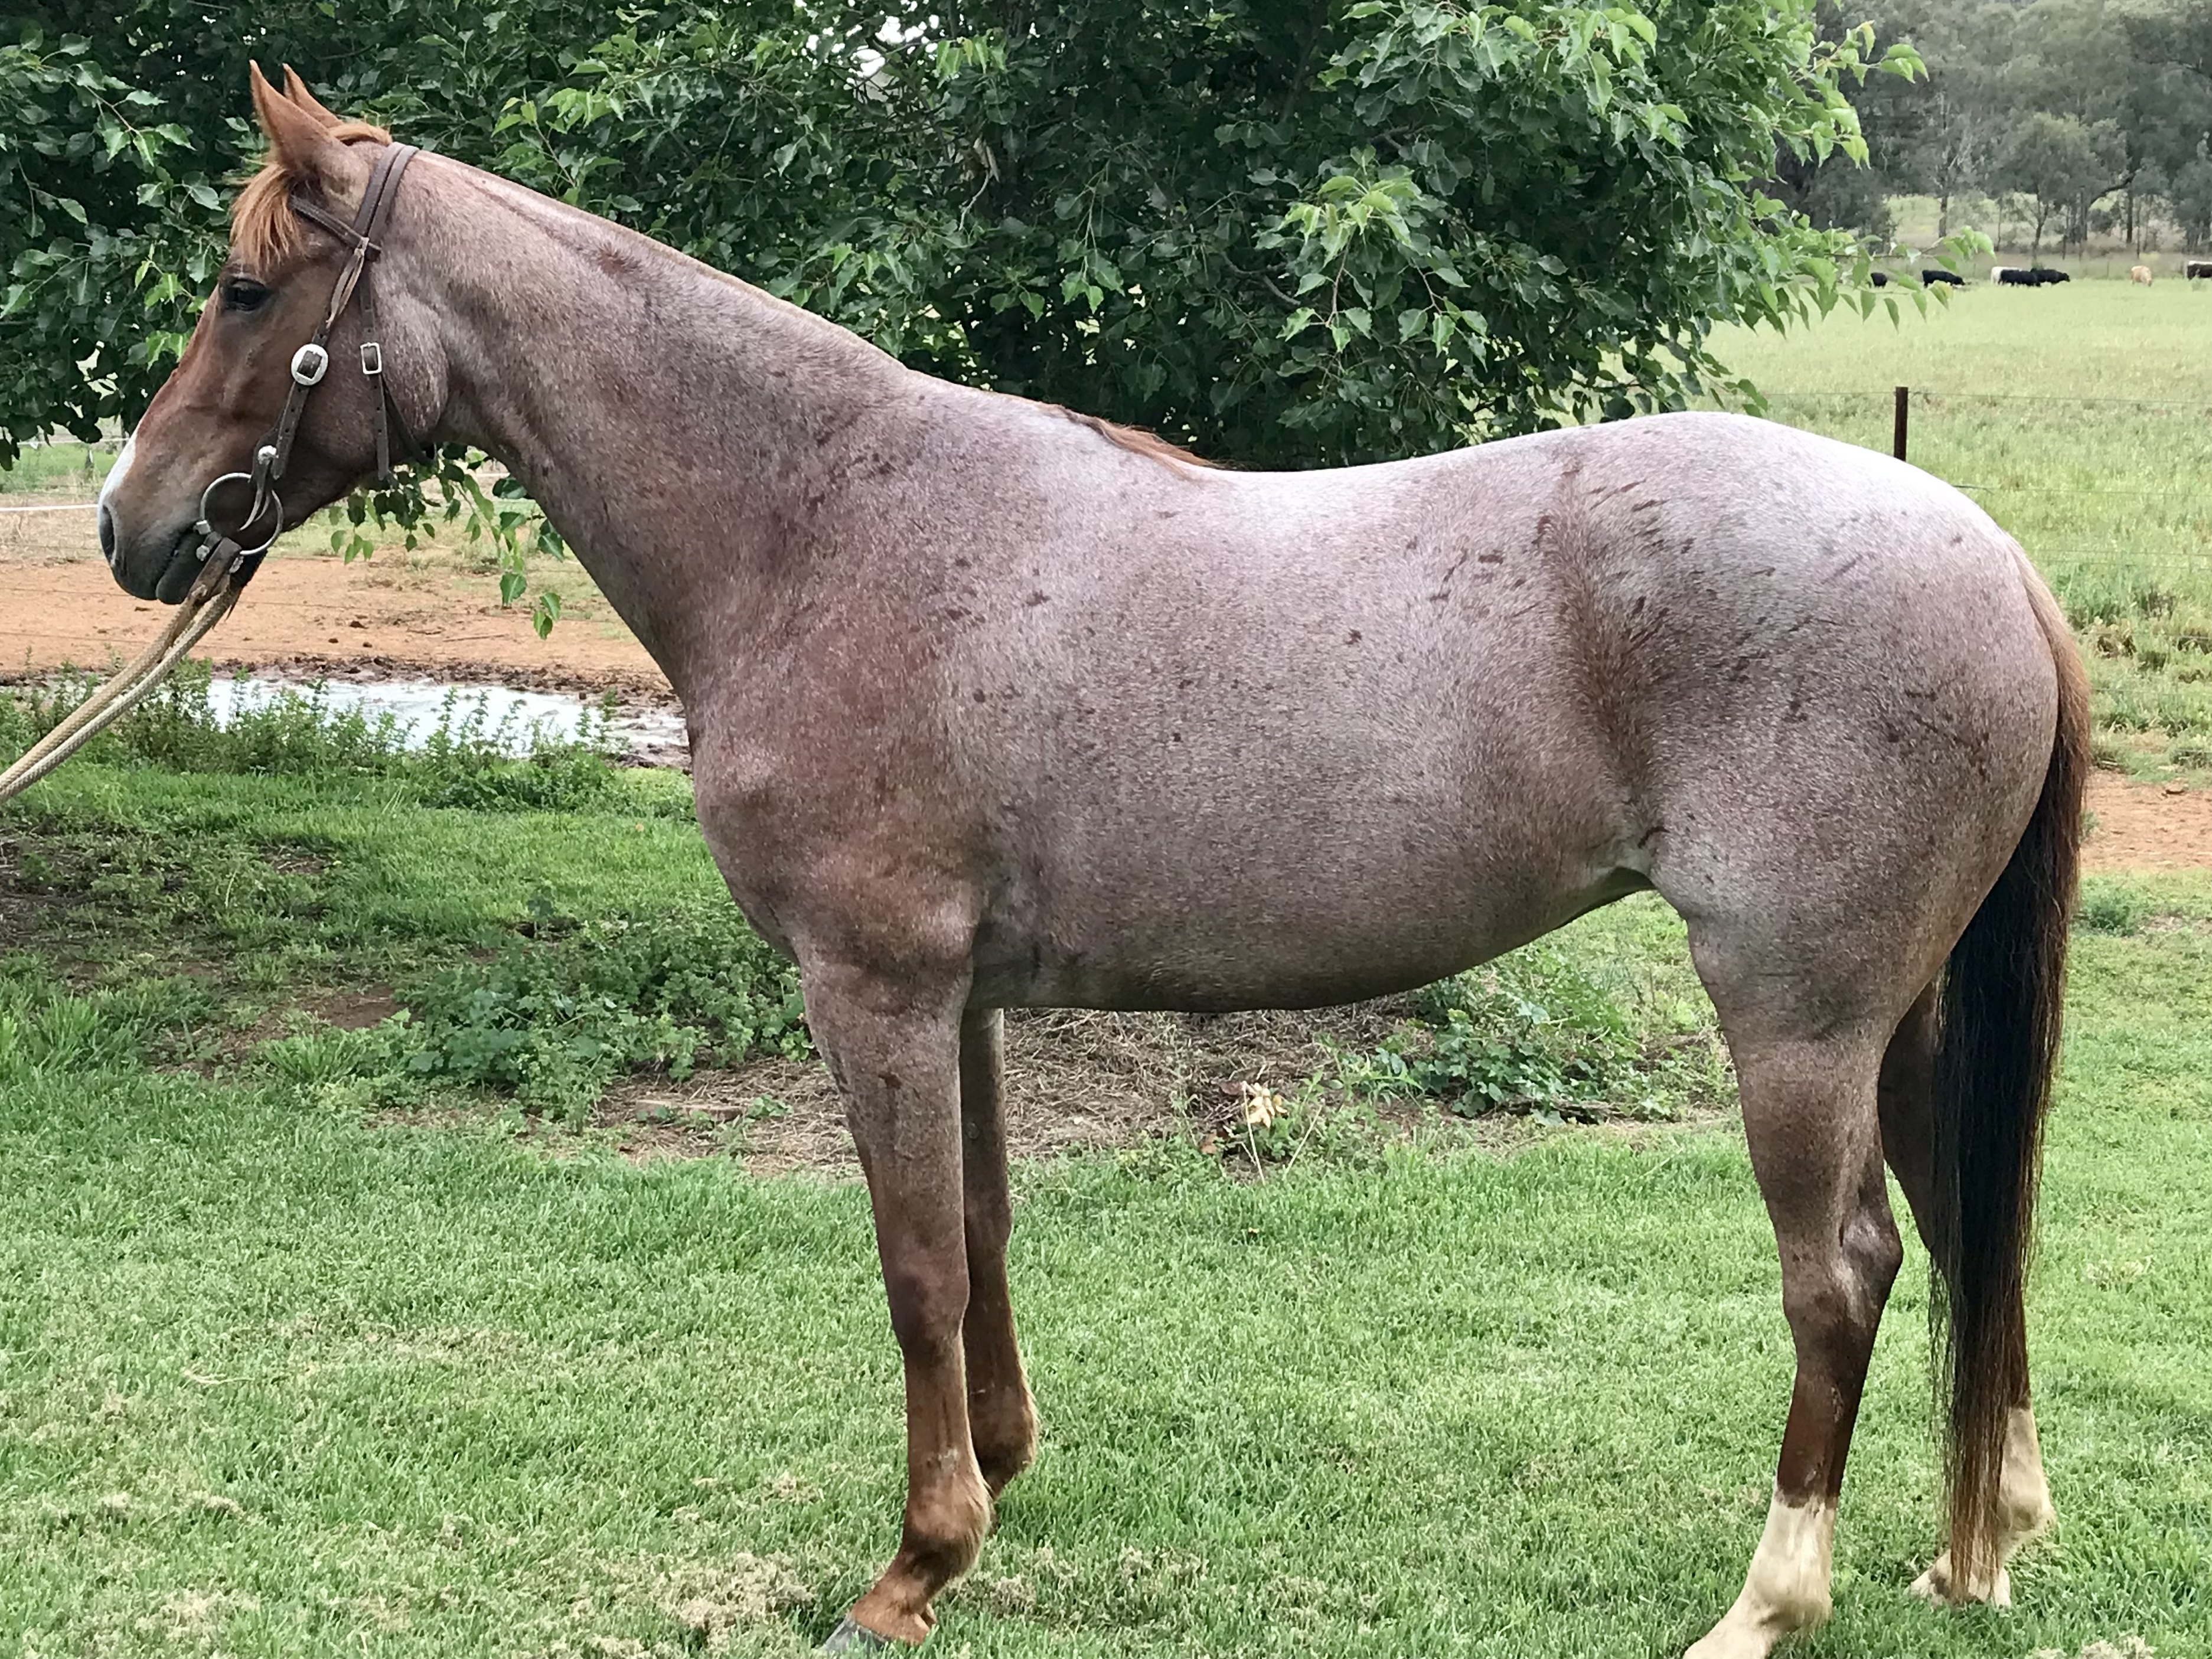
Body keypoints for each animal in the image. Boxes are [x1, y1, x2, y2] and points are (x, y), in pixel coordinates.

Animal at [98, 68, 2086, 1658]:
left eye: (245, 289)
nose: (133, 526)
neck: (819, 520)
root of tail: (1990, 552)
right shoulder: (961, 998)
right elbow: (976, 1229)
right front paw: (1000, 1475)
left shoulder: (874, 986)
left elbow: (908, 1258)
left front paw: (913, 1564)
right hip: (1897, 1022)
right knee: (1969, 1227)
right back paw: (1971, 1551)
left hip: (1795, 1022)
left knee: (1844, 1271)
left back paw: (1768, 1600)